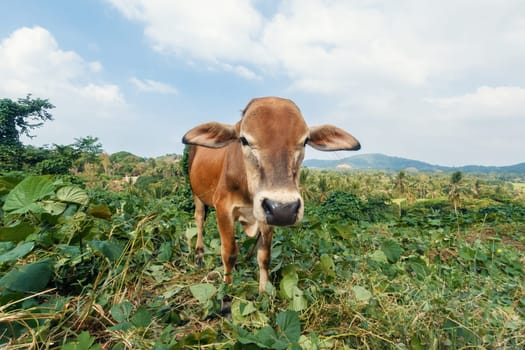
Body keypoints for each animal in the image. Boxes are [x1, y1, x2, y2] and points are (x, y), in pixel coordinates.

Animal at [181, 97, 360, 294]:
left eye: (305, 141)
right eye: (244, 139)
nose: (284, 209)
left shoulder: (267, 216)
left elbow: (264, 257)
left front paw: (263, 292)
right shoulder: (224, 209)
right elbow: (229, 253)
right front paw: (227, 289)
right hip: (196, 193)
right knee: (199, 219)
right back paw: (199, 253)